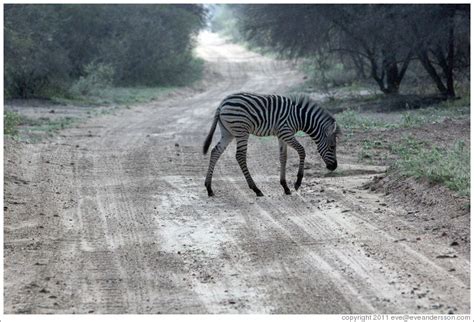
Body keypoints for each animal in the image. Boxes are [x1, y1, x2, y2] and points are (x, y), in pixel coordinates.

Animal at [202, 92, 338, 197]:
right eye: (332, 147)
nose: (334, 167)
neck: (298, 117)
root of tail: (222, 103)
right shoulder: (285, 133)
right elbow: (302, 151)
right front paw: (297, 183)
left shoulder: (282, 136)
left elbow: (283, 157)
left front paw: (285, 186)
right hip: (241, 131)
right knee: (240, 156)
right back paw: (256, 189)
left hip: (228, 132)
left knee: (215, 151)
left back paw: (209, 188)